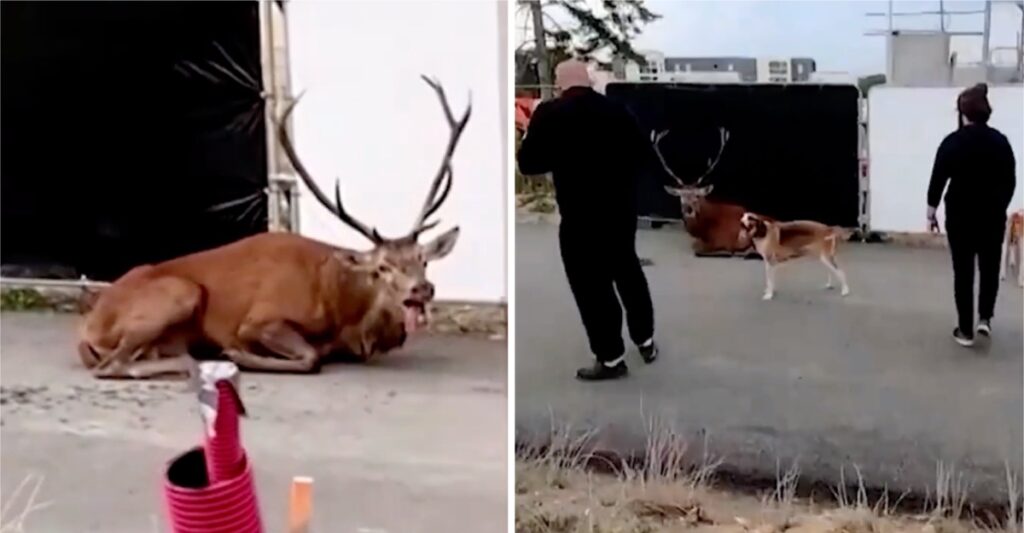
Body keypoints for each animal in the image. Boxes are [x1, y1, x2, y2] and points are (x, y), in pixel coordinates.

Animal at [78, 76, 471, 380]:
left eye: (423, 259)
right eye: (382, 268)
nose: (422, 289)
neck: (341, 307)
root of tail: (89, 327)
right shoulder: (260, 318)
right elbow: (310, 358)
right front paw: (237, 354)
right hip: (180, 291)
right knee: (112, 365)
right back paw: (198, 362)